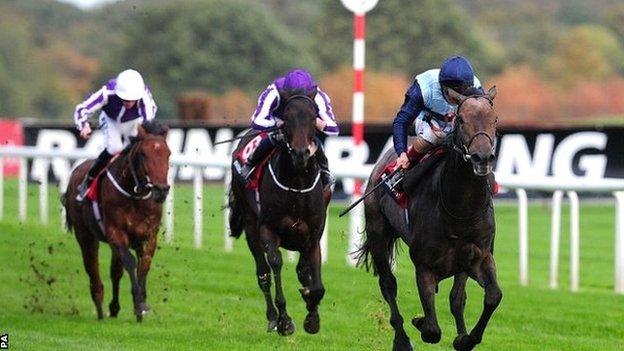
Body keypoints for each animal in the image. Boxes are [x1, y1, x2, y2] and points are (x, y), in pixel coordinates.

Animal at [61, 122, 169, 324]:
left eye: (168, 153)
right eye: (144, 154)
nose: (161, 190)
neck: (134, 193)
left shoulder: (149, 236)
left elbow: (143, 265)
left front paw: (141, 305)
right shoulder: (116, 232)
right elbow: (131, 262)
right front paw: (138, 304)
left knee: (115, 271)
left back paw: (114, 308)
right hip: (85, 235)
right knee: (92, 268)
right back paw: (100, 307)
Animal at [225, 89, 332, 336]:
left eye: (312, 118)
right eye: (287, 118)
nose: (301, 153)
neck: (297, 184)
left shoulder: (313, 235)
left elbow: (315, 281)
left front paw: (312, 316)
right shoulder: (268, 229)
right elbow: (275, 263)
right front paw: (285, 320)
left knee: (301, 269)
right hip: (251, 226)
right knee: (263, 274)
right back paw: (273, 317)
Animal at [358, 86, 500, 351]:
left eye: (494, 119)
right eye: (461, 119)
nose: (482, 157)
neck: (460, 209)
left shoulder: (478, 256)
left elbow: (490, 297)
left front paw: (465, 339)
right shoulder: (424, 264)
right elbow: (432, 329)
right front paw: (420, 321)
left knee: (457, 297)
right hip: (377, 233)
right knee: (388, 284)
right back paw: (402, 340)